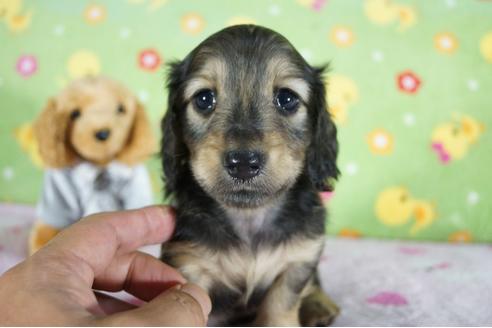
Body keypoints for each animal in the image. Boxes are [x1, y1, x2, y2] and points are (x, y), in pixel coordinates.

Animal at [160, 25, 338, 326]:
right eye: (204, 99)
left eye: (287, 99)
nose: (243, 162)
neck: (249, 217)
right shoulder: (188, 266)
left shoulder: (299, 261)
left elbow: (282, 306)